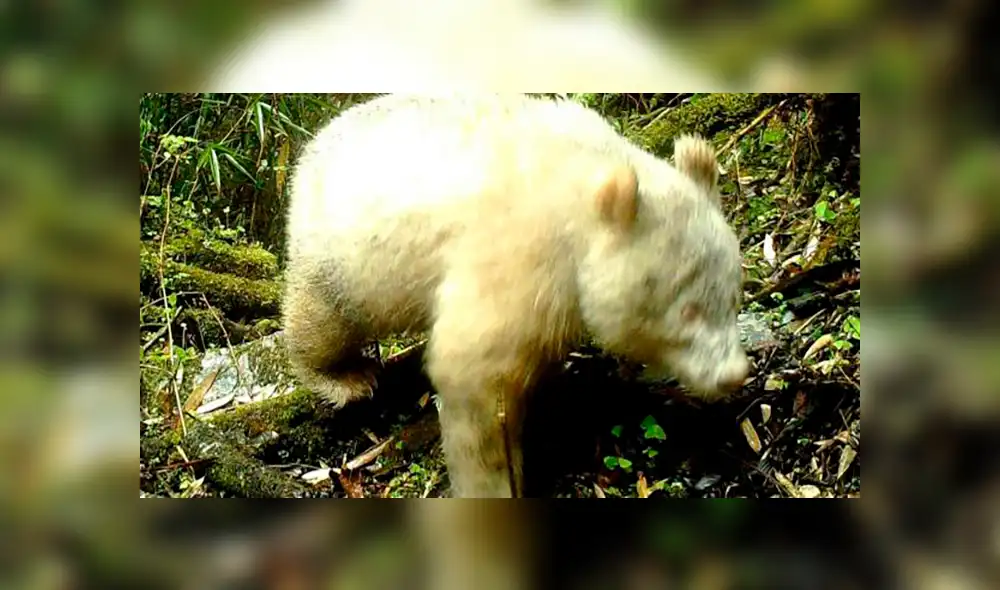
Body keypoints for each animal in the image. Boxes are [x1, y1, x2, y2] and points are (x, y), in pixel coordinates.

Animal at [282, 94, 750, 498]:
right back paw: (345, 378)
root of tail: (314, 146)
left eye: (733, 297)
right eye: (688, 310)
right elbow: (473, 371)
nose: (733, 374)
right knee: (322, 320)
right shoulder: (519, 253)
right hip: (341, 257)